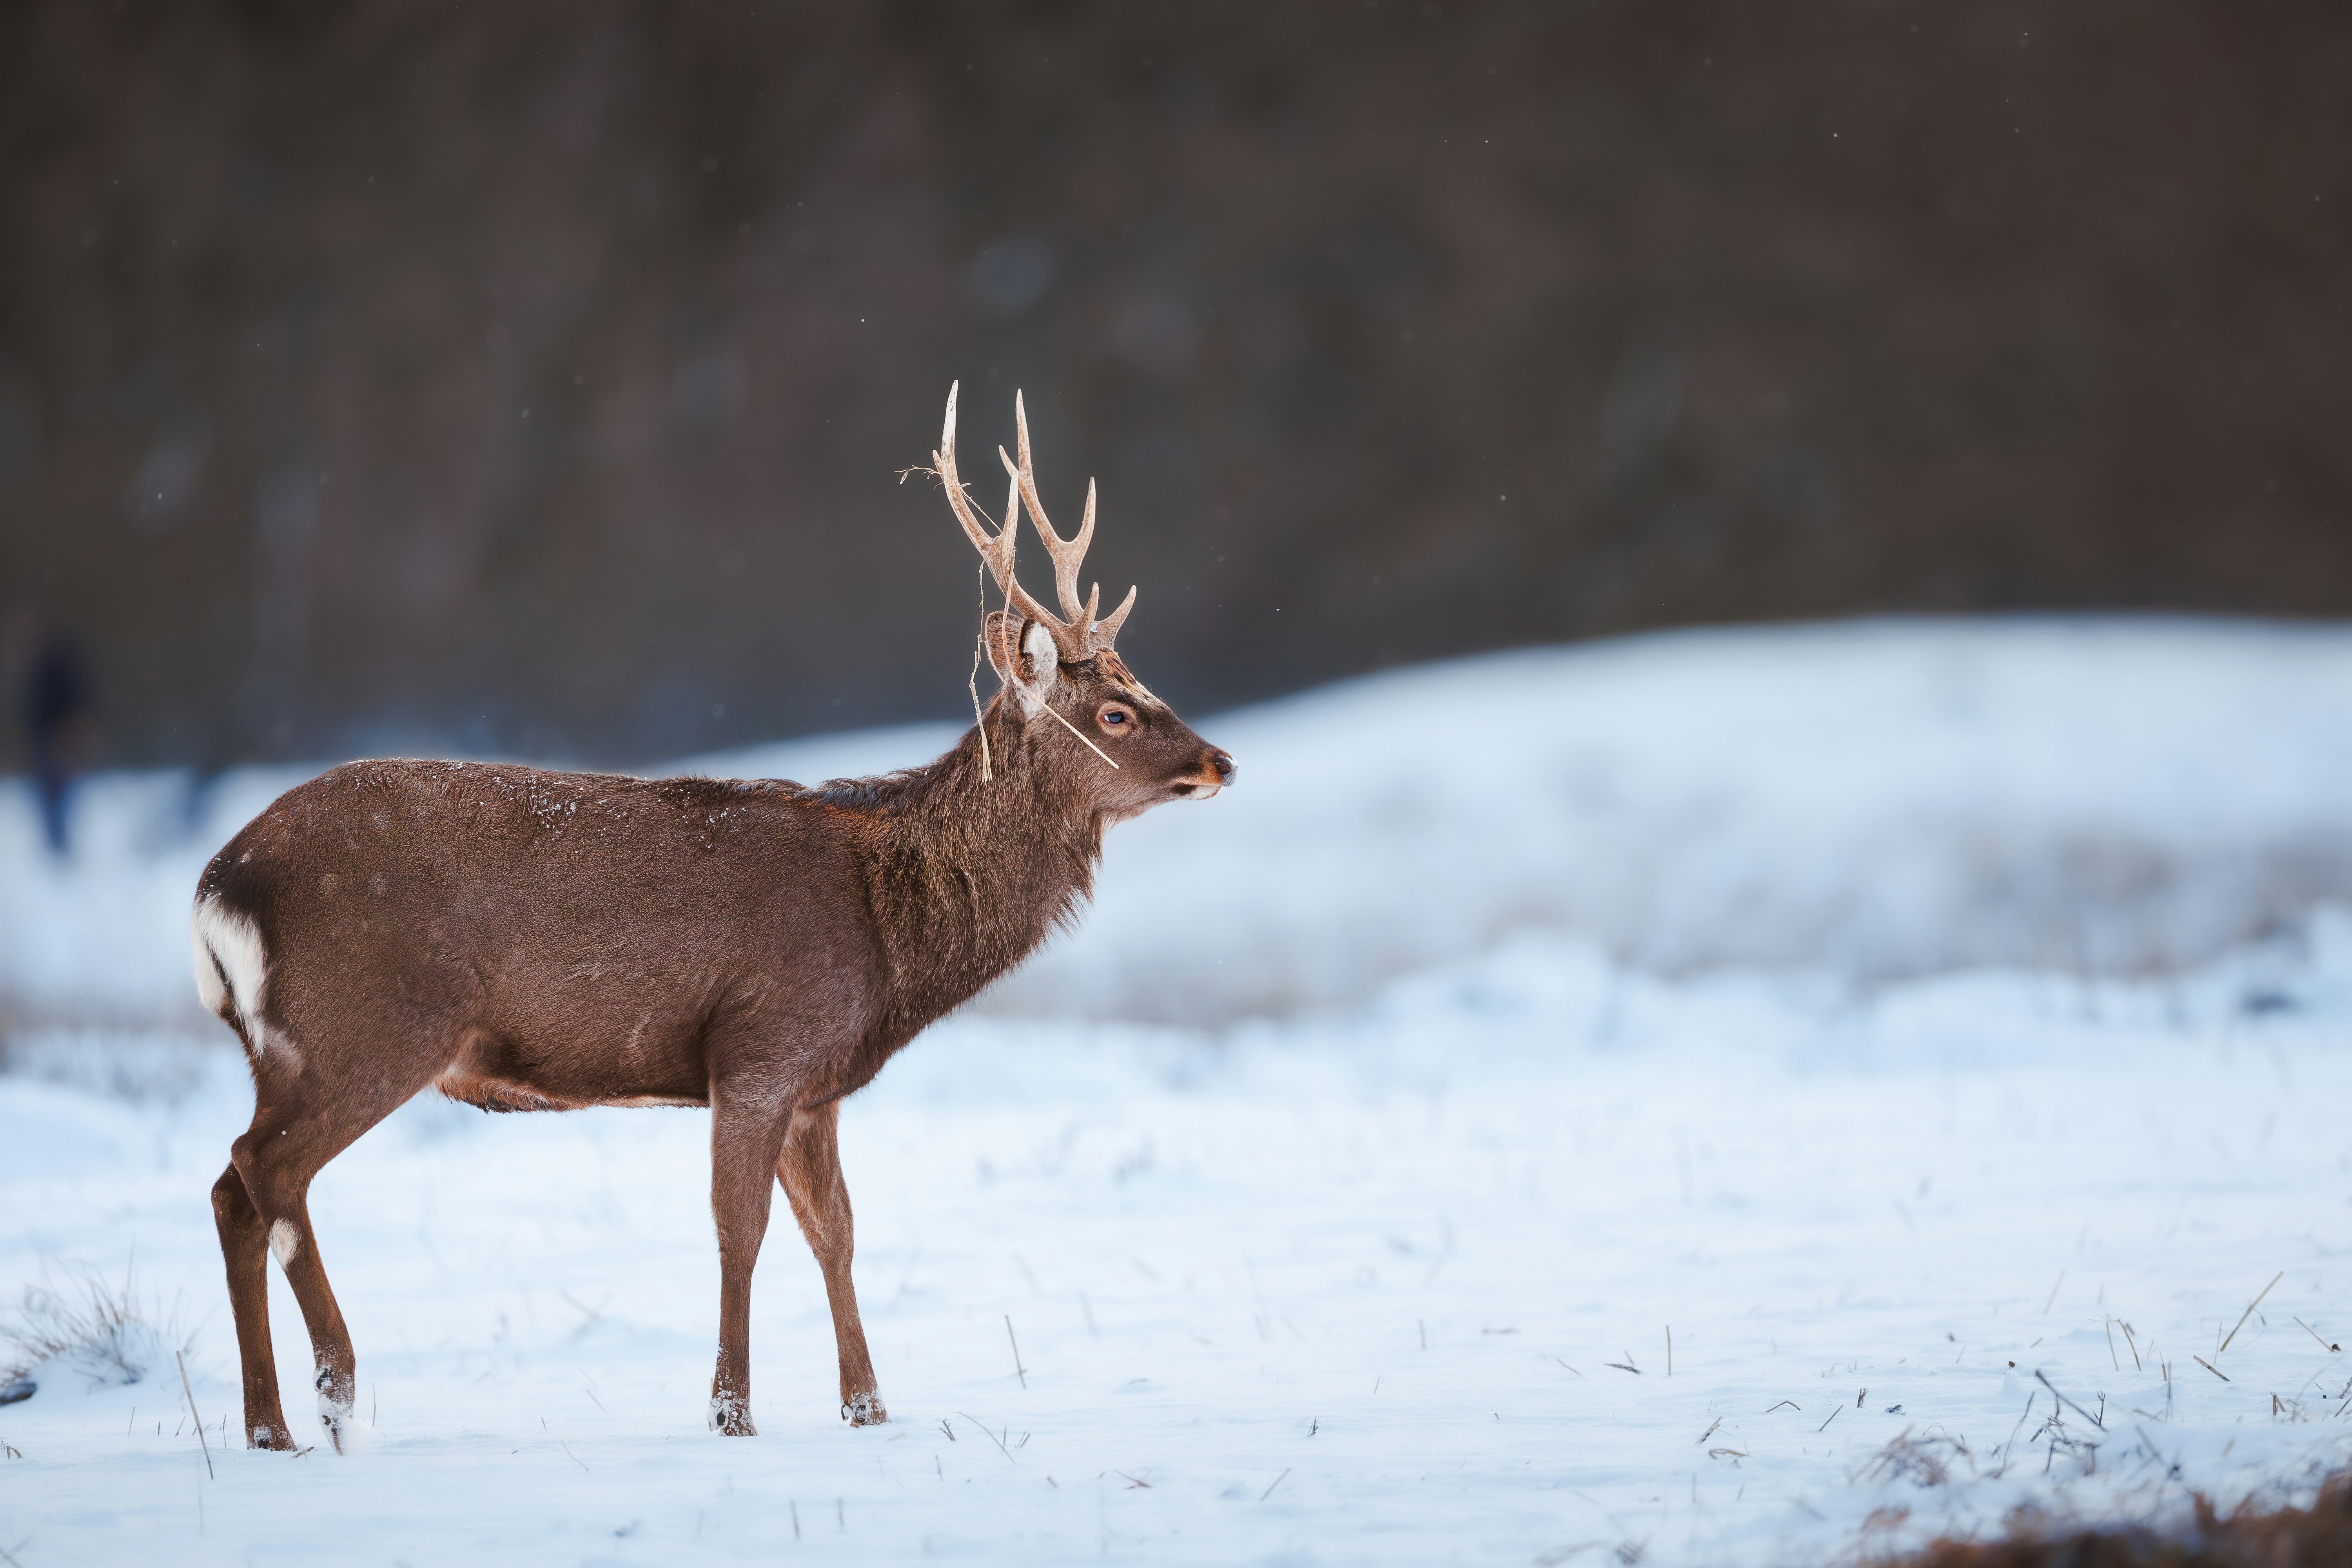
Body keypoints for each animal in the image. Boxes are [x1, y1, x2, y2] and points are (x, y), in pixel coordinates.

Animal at [189, 384, 1235, 1451]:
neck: (887, 936)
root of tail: (220, 885)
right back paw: (337, 1393)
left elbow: (836, 1232)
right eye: (1114, 713)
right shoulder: (760, 1043)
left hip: (285, 1048)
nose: (1219, 761)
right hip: (369, 1024)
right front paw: (733, 1411)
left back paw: (271, 1427)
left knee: (239, 1188)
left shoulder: (816, 1085)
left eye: (1142, 685)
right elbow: (742, 1228)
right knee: (263, 1171)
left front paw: (868, 1405)